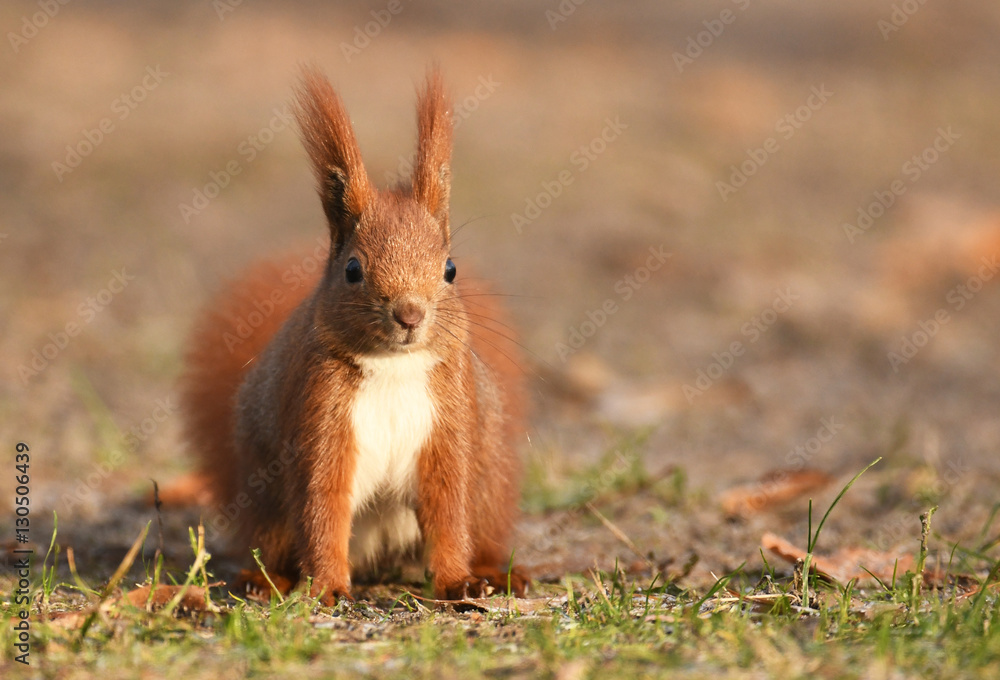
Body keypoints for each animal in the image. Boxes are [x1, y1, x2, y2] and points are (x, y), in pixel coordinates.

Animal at [179, 66, 528, 604]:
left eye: (450, 269)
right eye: (352, 270)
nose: (409, 314)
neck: (393, 366)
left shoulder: (449, 423)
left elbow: (448, 512)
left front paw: (456, 582)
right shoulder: (321, 421)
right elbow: (323, 508)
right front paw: (326, 587)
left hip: (489, 491)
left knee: (478, 528)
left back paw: (497, 573)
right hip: (267, 506)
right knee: (278, 543)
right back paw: (265, 580)